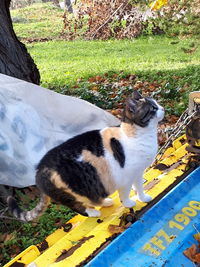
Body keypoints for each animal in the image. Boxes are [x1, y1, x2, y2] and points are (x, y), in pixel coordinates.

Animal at [7, 91, 164, 221]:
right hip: (72, 193)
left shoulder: (138, 172)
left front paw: (143, 198)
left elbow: (139, 187)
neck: (134, 135)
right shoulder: (125, 178)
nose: (162, 108)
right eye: (153, 108)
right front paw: (129, 203)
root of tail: (39, 170)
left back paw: (105, 202)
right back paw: (94, 212)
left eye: (157, 103)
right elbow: (125, 194)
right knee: (78, 207)